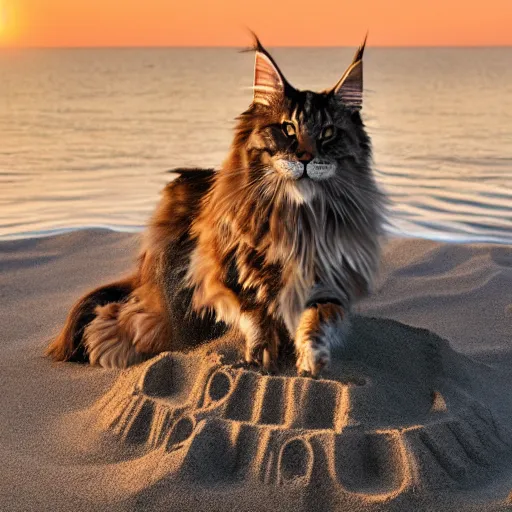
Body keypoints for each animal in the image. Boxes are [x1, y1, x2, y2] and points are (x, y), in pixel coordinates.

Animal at [48, 36, 386, 378]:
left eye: (328, 133)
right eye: (287, 129)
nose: (305, 157)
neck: (295, 217)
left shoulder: (328, 279)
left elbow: (316, 319)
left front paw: (311, 357)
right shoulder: (219, 268)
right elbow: (253, 310)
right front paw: (263, 350)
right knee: (125, 317)